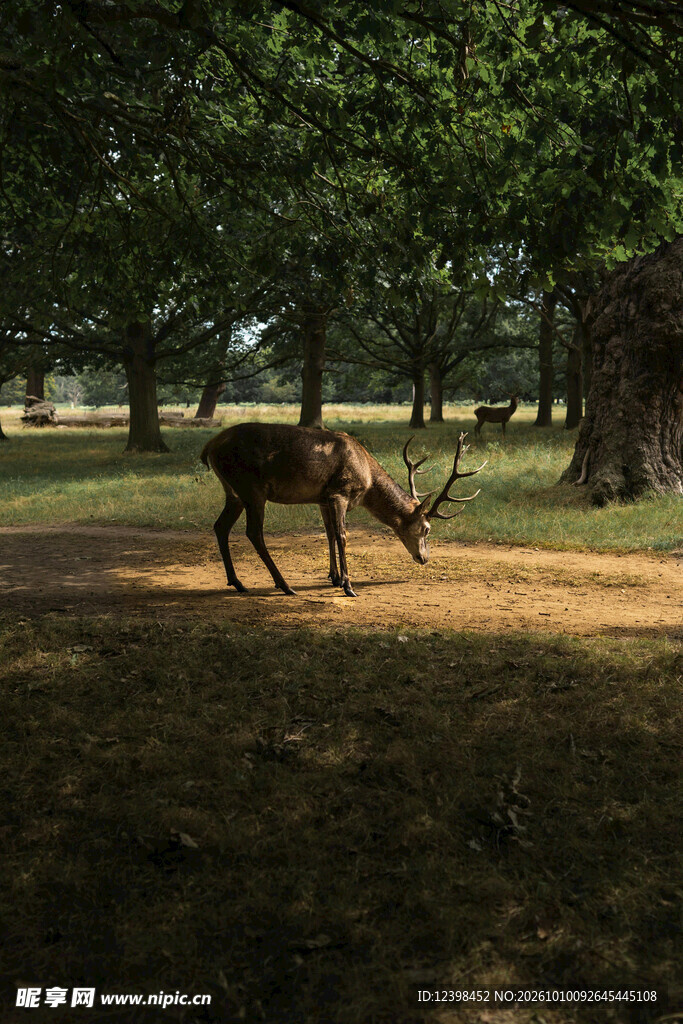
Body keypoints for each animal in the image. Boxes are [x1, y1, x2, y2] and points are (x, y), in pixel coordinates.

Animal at [200, 423, 486, 598]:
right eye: (427, 529)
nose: (424, 558)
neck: (367, 480)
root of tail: (209, 446)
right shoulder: (340, 492)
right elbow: (342, 536)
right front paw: (348, 585)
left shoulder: (323, 499)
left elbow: (328, 534)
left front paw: (334, 577)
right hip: (251, 488)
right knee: (253, 533)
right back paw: (284, 585)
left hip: (234, 493)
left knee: (220, 526)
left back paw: (237, 582)